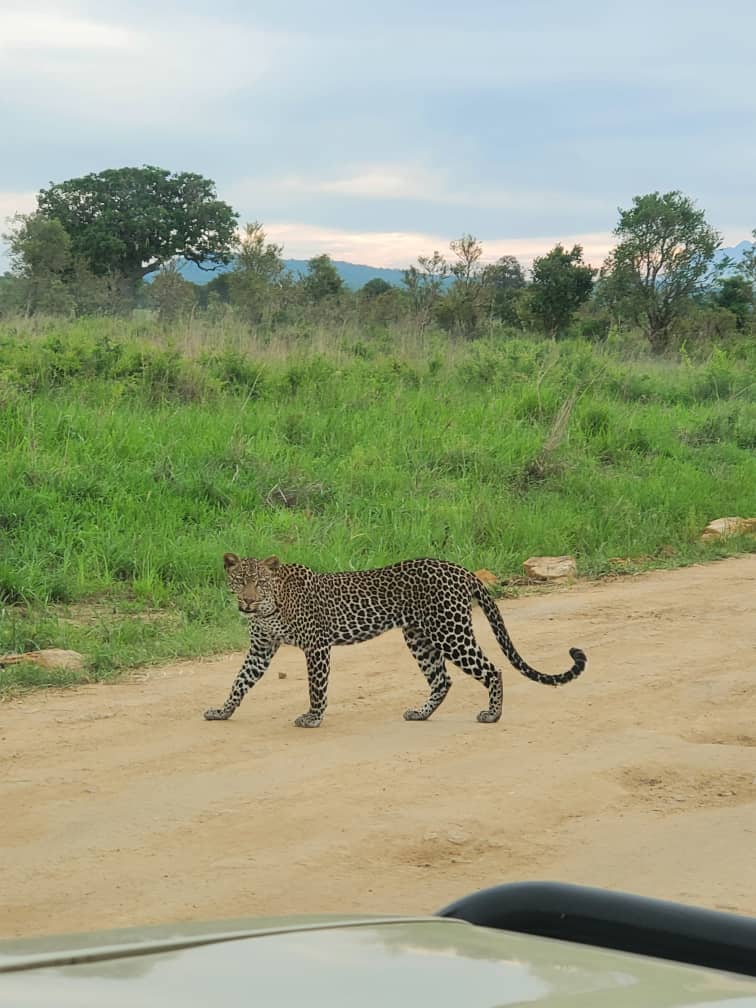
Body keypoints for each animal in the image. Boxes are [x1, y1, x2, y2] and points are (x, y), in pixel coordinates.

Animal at [204, 556, 588, 729]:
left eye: (259, 583)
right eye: (238, 581)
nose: (247, 602)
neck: (270, 607)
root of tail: (461, 569)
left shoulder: (316, 646)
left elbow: (316, 687)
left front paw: (312, 718)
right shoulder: (261, 648)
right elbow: (240, 681)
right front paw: (223, 711)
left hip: (450, 632)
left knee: (492, 669)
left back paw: (492, 714)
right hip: (419, 637)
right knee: (442, 679)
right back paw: (421, 713)